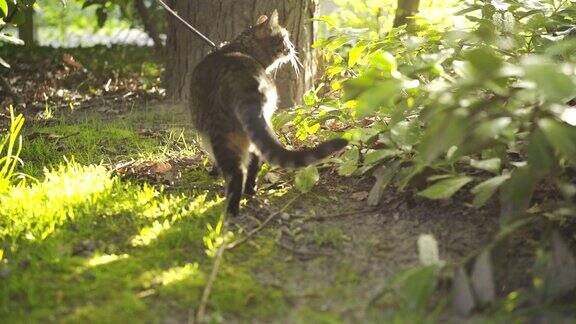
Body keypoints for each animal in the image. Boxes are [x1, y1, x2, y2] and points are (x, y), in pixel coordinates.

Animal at [191, 11, 348, 216]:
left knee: (237, 173)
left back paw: (231, 212)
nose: (292, 47)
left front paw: (212, 173)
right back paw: (250, 192)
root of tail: (248, 82)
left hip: (222, 134)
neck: (242, 48)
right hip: (259, 126)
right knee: (255, 161)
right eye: (285, 38)